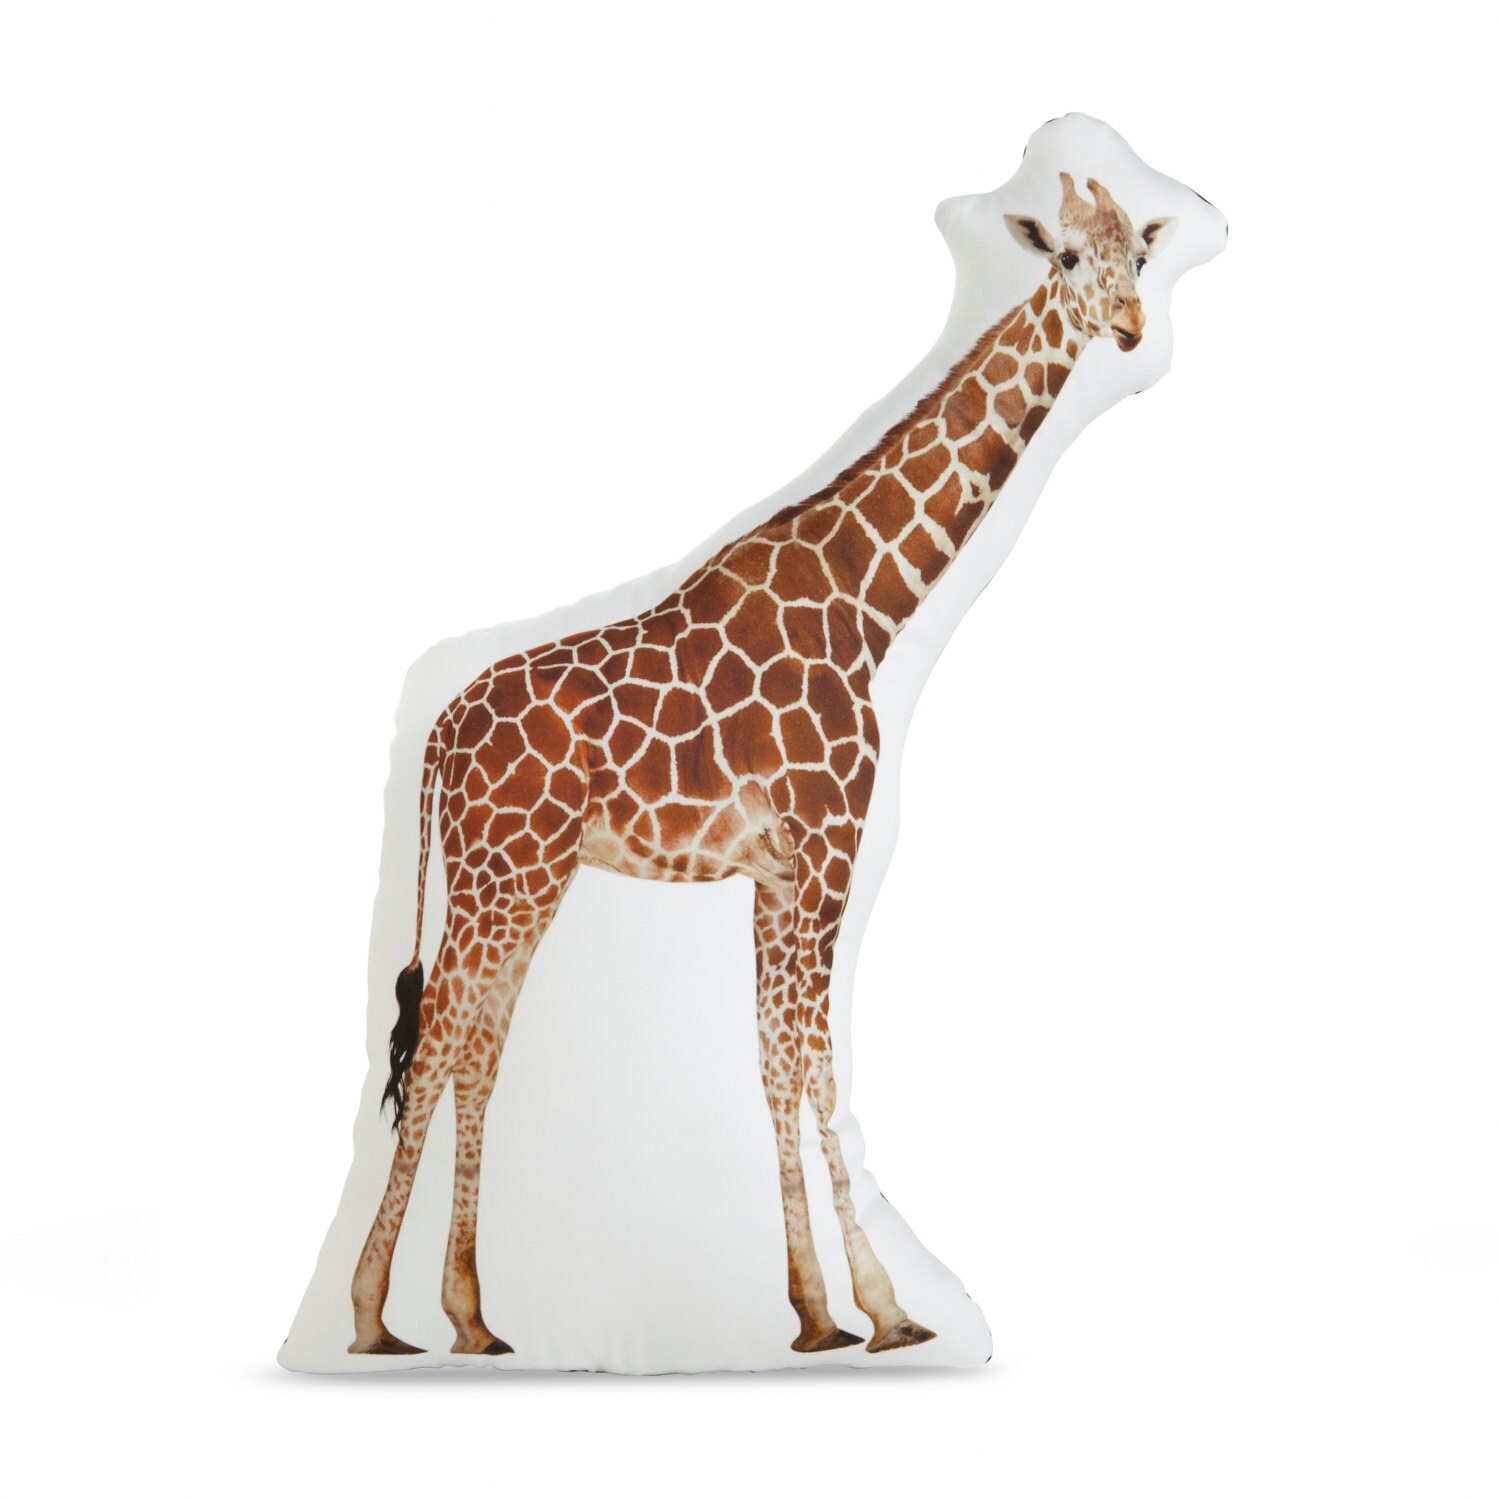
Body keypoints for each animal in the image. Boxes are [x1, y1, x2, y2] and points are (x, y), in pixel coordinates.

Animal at [349, 173, 1177, 1358]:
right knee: (440, 1043)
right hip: (506, 876)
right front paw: (887, 1307)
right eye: (1065, 256)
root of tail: (438, 732)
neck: (872, 604)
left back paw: (472, 1318)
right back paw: (373, 1318)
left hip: (515, 880)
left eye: (1140, 259)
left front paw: (817, 1310)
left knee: (475, 1047)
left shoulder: (778, 874)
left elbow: (774, 1063)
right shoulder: (830, 851)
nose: (1131, 326)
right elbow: (817, 1064)